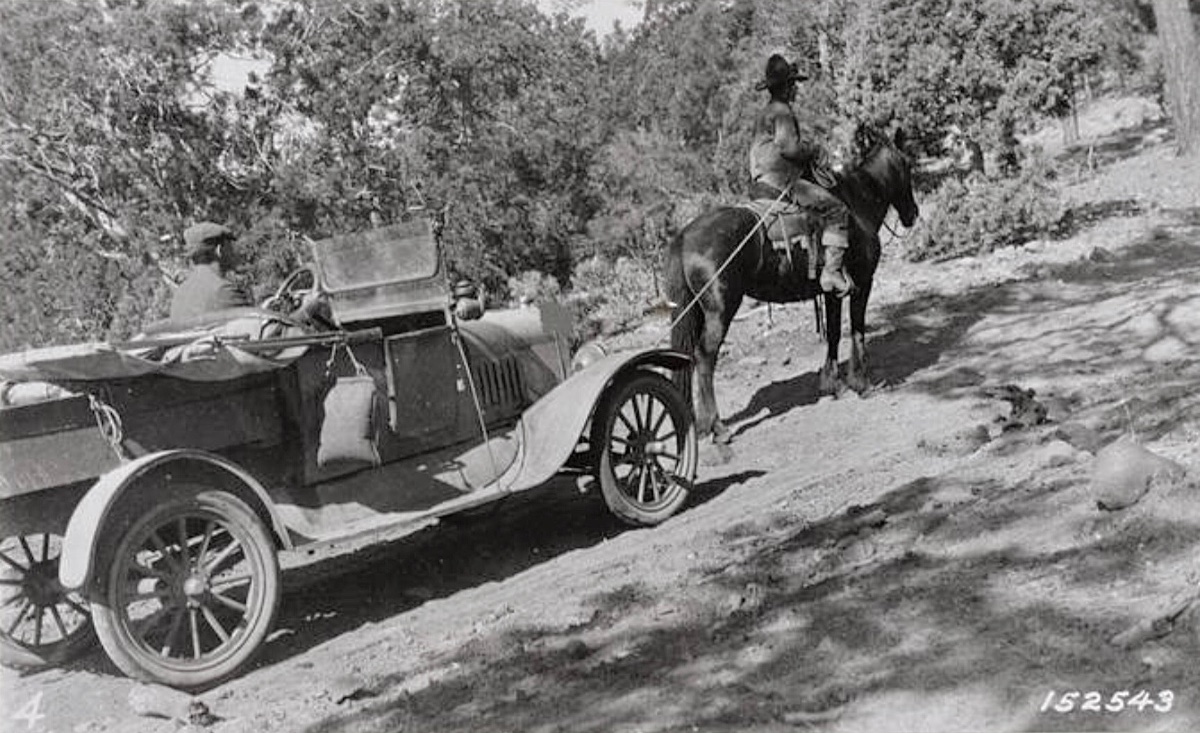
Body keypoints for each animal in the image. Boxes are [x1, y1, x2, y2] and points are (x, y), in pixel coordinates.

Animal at [665, 125, 919, 444]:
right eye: (907, 164)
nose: (913, 214)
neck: (858, 204)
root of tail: (684, 236)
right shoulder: (863, 283)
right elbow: (858, 330)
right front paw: (861, 383)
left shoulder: (832, 291)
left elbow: (834, 333)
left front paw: (831, 384)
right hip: (720, 310)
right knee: (705, 356)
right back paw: (717, 427)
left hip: (696, 310)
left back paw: (699, 426)